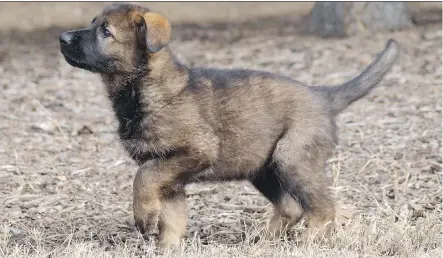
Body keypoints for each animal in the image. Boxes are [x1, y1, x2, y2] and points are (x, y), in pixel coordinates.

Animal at [58, 2, 398, 250]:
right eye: (92, 23)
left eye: (106, 32)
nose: (62, 38)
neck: (145, 88)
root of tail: (323, 95)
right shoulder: (172, 175)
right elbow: (173, 218)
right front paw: (168, 247)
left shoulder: (192, 151)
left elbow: (143, 178)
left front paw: (144, 217)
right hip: (262, 167)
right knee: (291, 207)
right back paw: (263, 242)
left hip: (293, 158)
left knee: (323, 207)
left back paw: (309, 241)